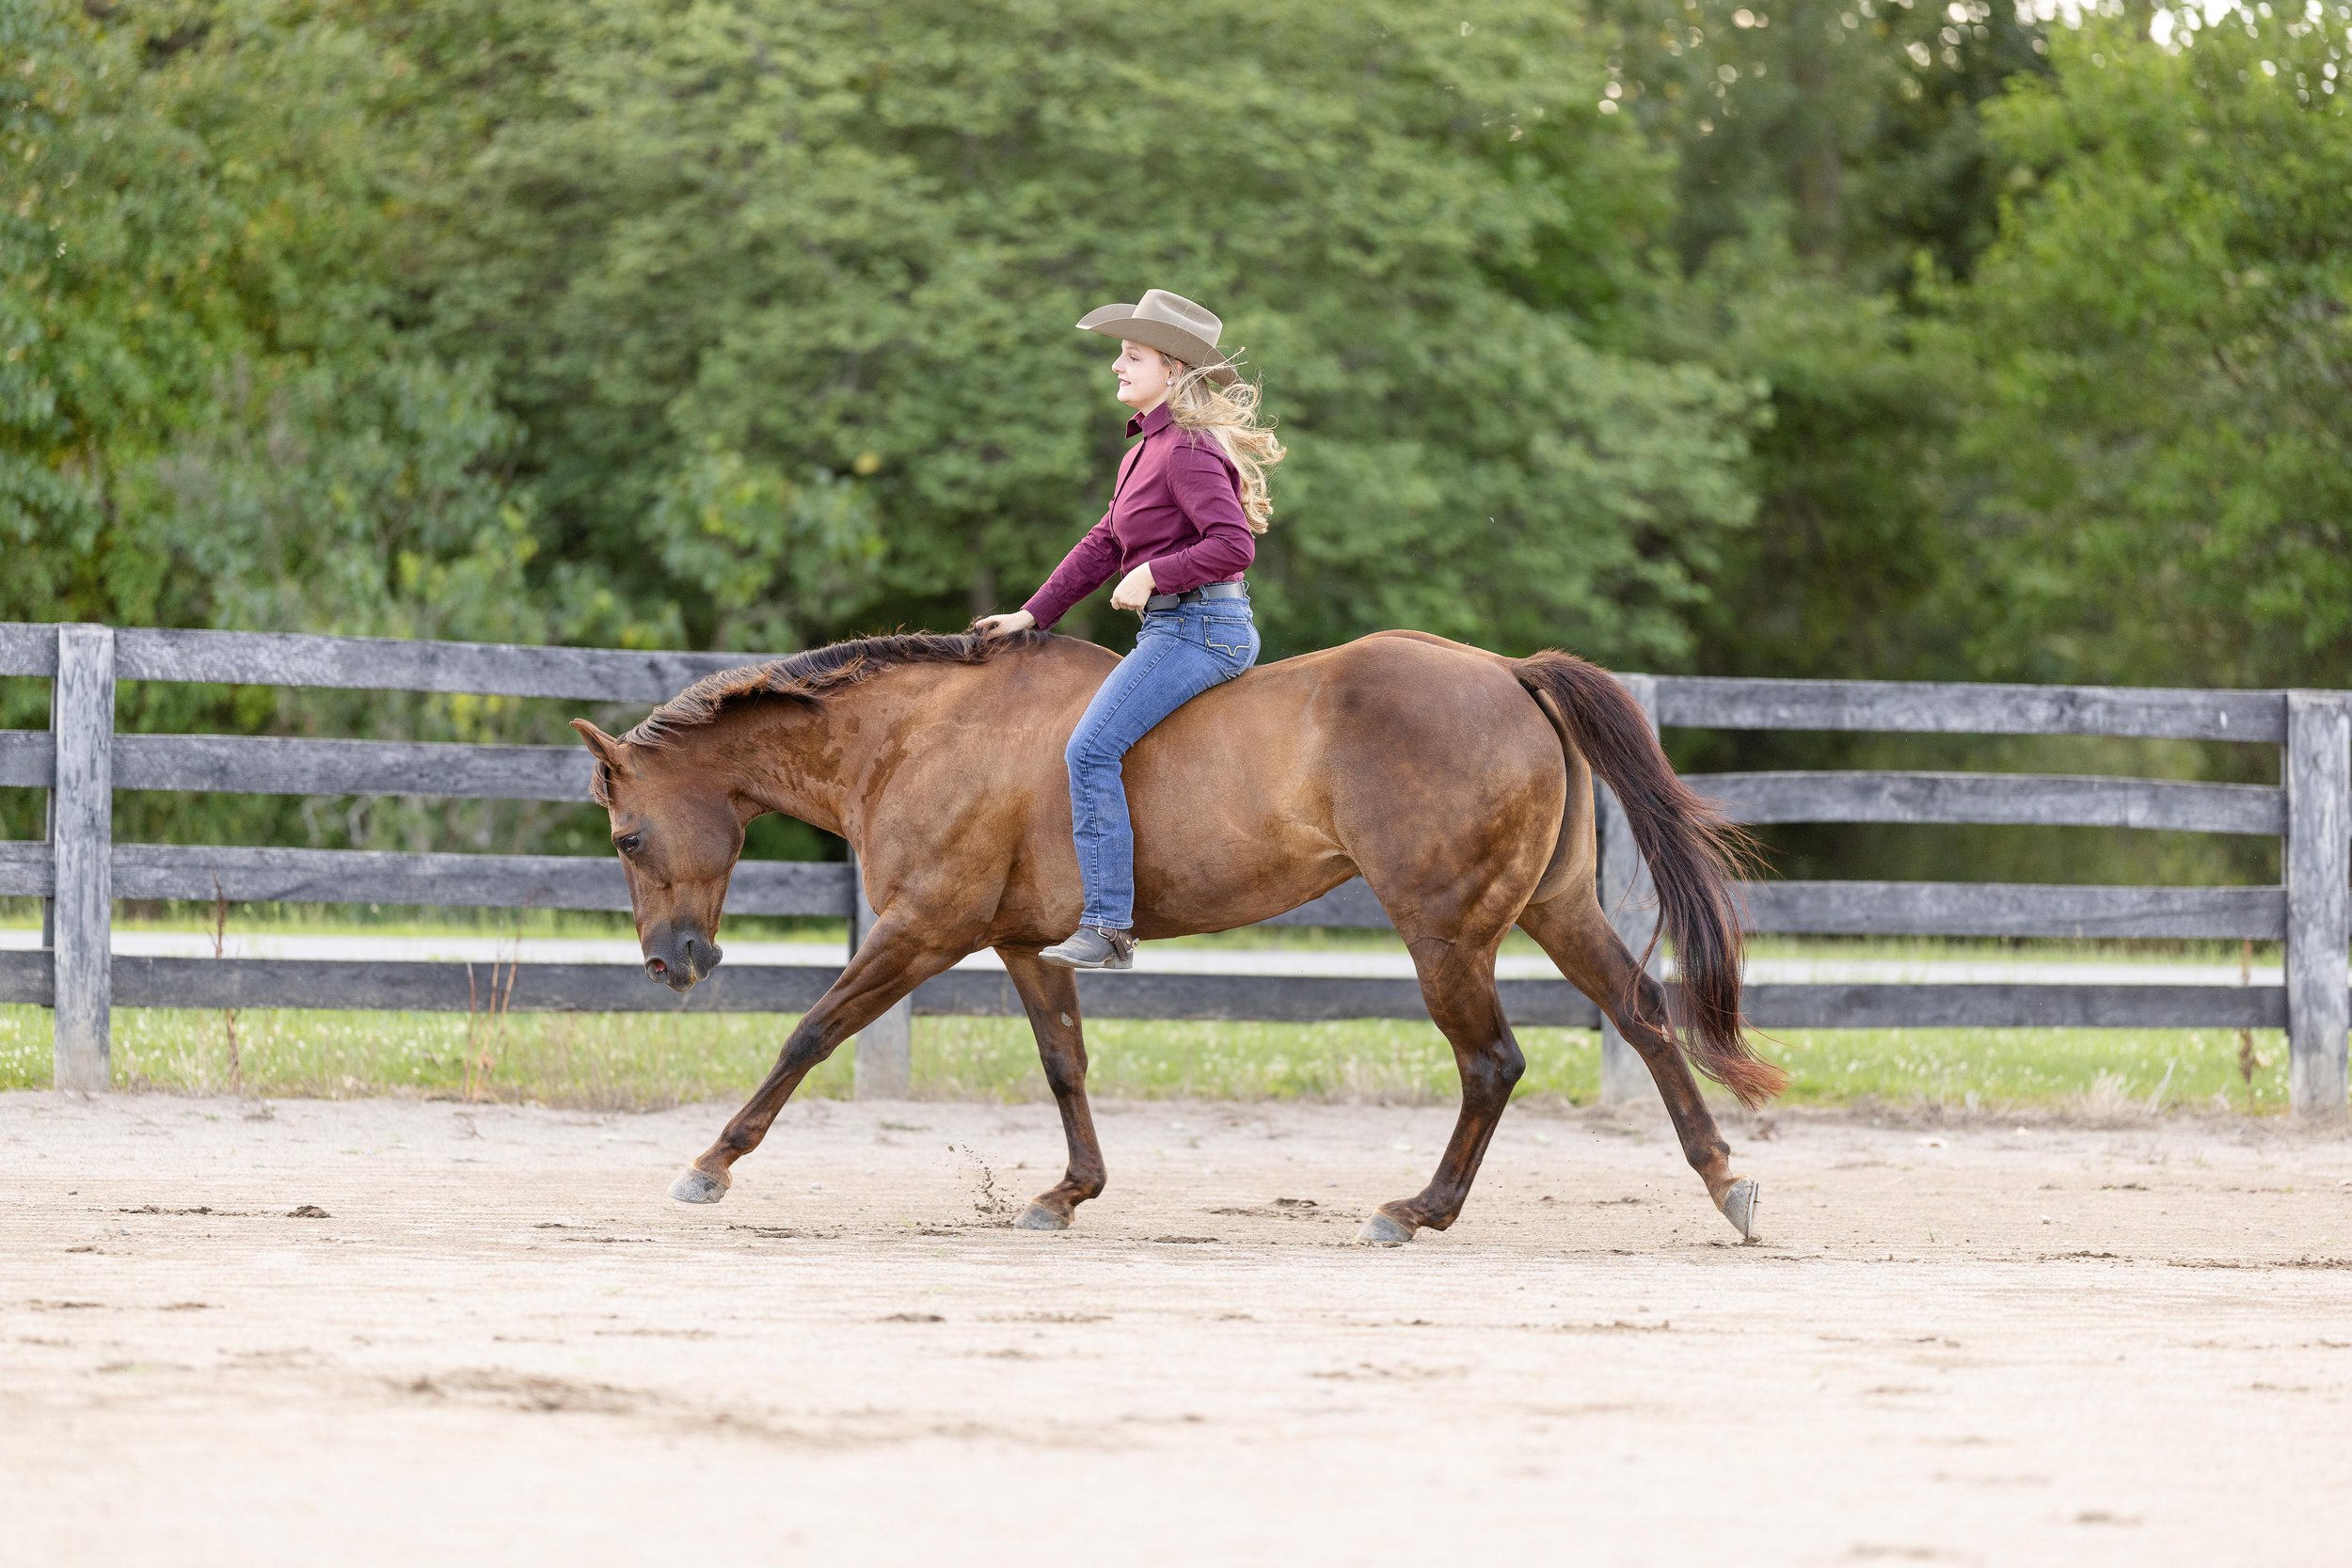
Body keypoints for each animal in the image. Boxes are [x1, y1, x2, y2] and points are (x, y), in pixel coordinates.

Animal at [569, 629, 1778, 1241]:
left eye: (627, 834)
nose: (671, 963)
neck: (917, 734)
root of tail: (1507, 672)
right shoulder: (1022, 944)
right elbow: (1064, 1062)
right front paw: (1065, 1193)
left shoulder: (921, 928)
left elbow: (808, 1033)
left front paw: (709, 1165)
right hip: (1552, 908)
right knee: (1644, 1017)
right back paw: (1724, 1182)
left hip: (1444, 930)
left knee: (1492, 1061)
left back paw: (1414, 1211)